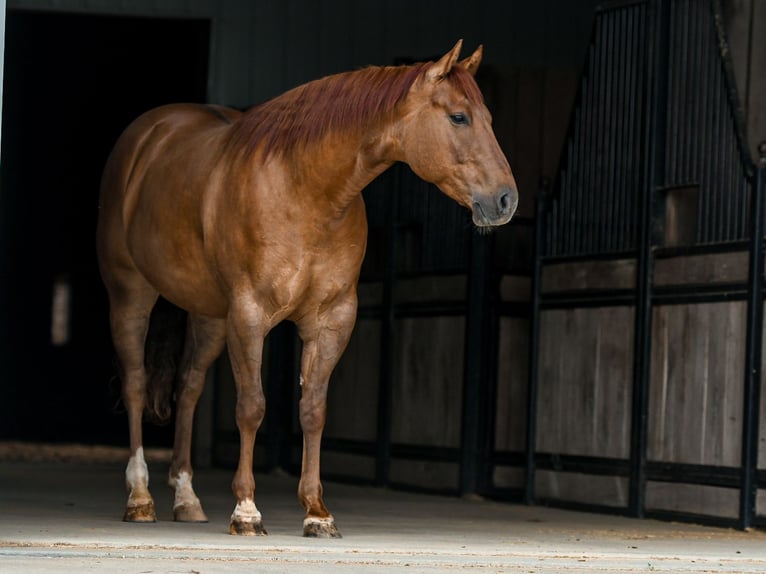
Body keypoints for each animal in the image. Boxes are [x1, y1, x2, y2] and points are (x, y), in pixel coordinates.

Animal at [96, 40, 518, 538]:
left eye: (488, 118)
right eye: (458, 117)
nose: (506, 200)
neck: (304, 190)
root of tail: (148, 136)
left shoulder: (332, 318)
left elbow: (313, 410)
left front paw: (317, 512)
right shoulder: (249, 313)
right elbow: (252, 406)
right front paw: (246, 511)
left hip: (209, 315)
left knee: (189, 388)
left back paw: (186, 498)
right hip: (131, 296)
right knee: (136, 383)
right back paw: (140, 498)